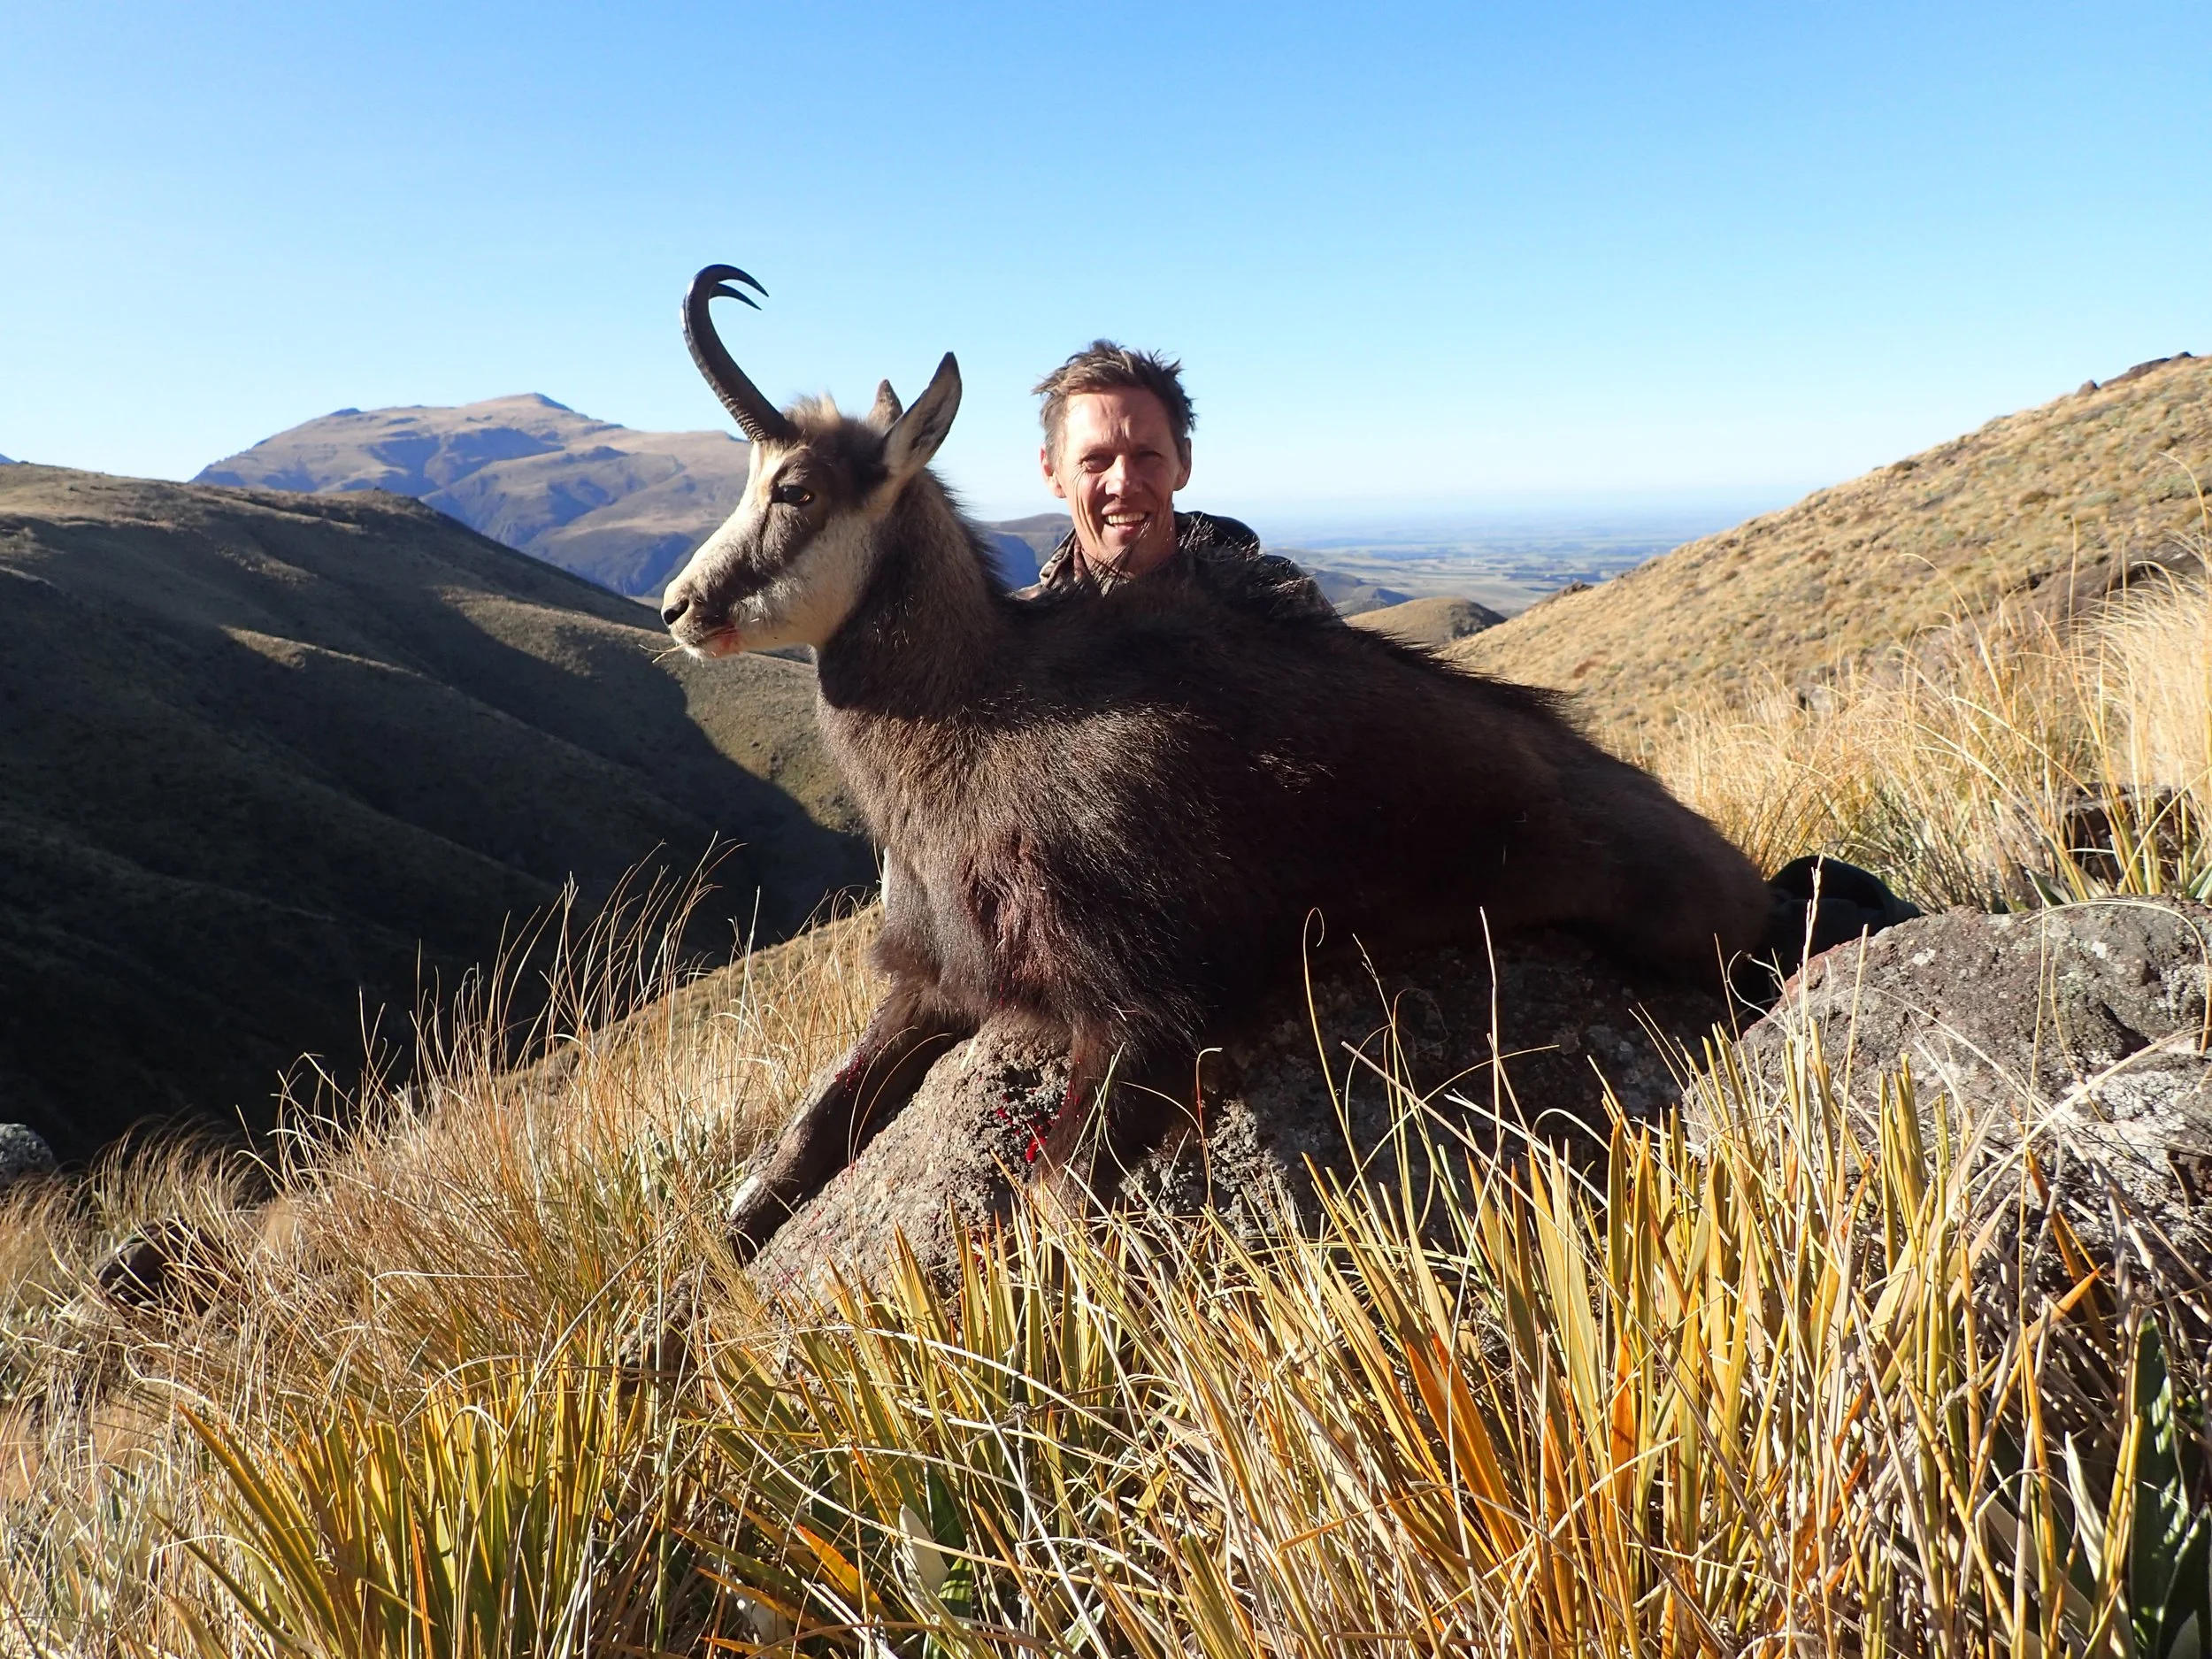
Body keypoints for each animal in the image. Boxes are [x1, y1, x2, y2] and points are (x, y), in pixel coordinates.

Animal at [659, 265, 1773, 1251]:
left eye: (795, 488)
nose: (677, 608)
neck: (977, 717)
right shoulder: (935, 981)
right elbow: (782, 1162)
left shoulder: (1150, 1005)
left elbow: (1054, 1200)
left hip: (1688, 928)